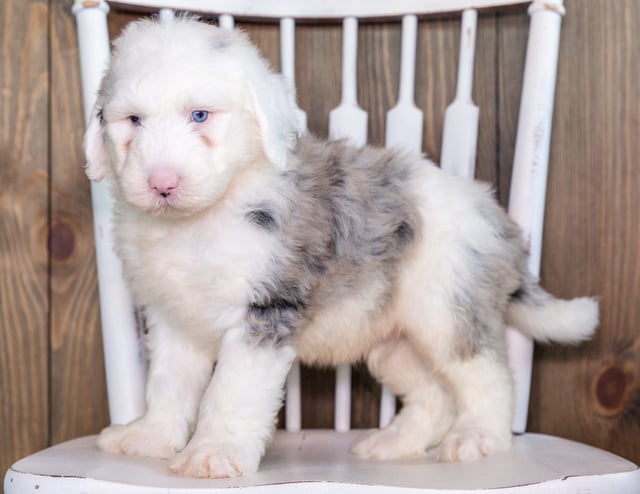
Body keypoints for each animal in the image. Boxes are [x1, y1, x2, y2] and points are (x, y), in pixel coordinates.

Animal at [85, 16, 600, 478]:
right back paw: (393, 444)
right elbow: (167, 384)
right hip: (393, 341)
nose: (162, 184)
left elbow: (231, 391)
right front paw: (149, 438)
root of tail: (498, 218)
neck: (197, 221)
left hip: (449, 310)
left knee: (488, 377)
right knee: (434, 396)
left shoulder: (265, 312)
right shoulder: (173, 317)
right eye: (132, 120)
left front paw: (214, 454)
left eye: (200, 115)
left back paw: (477, 438)